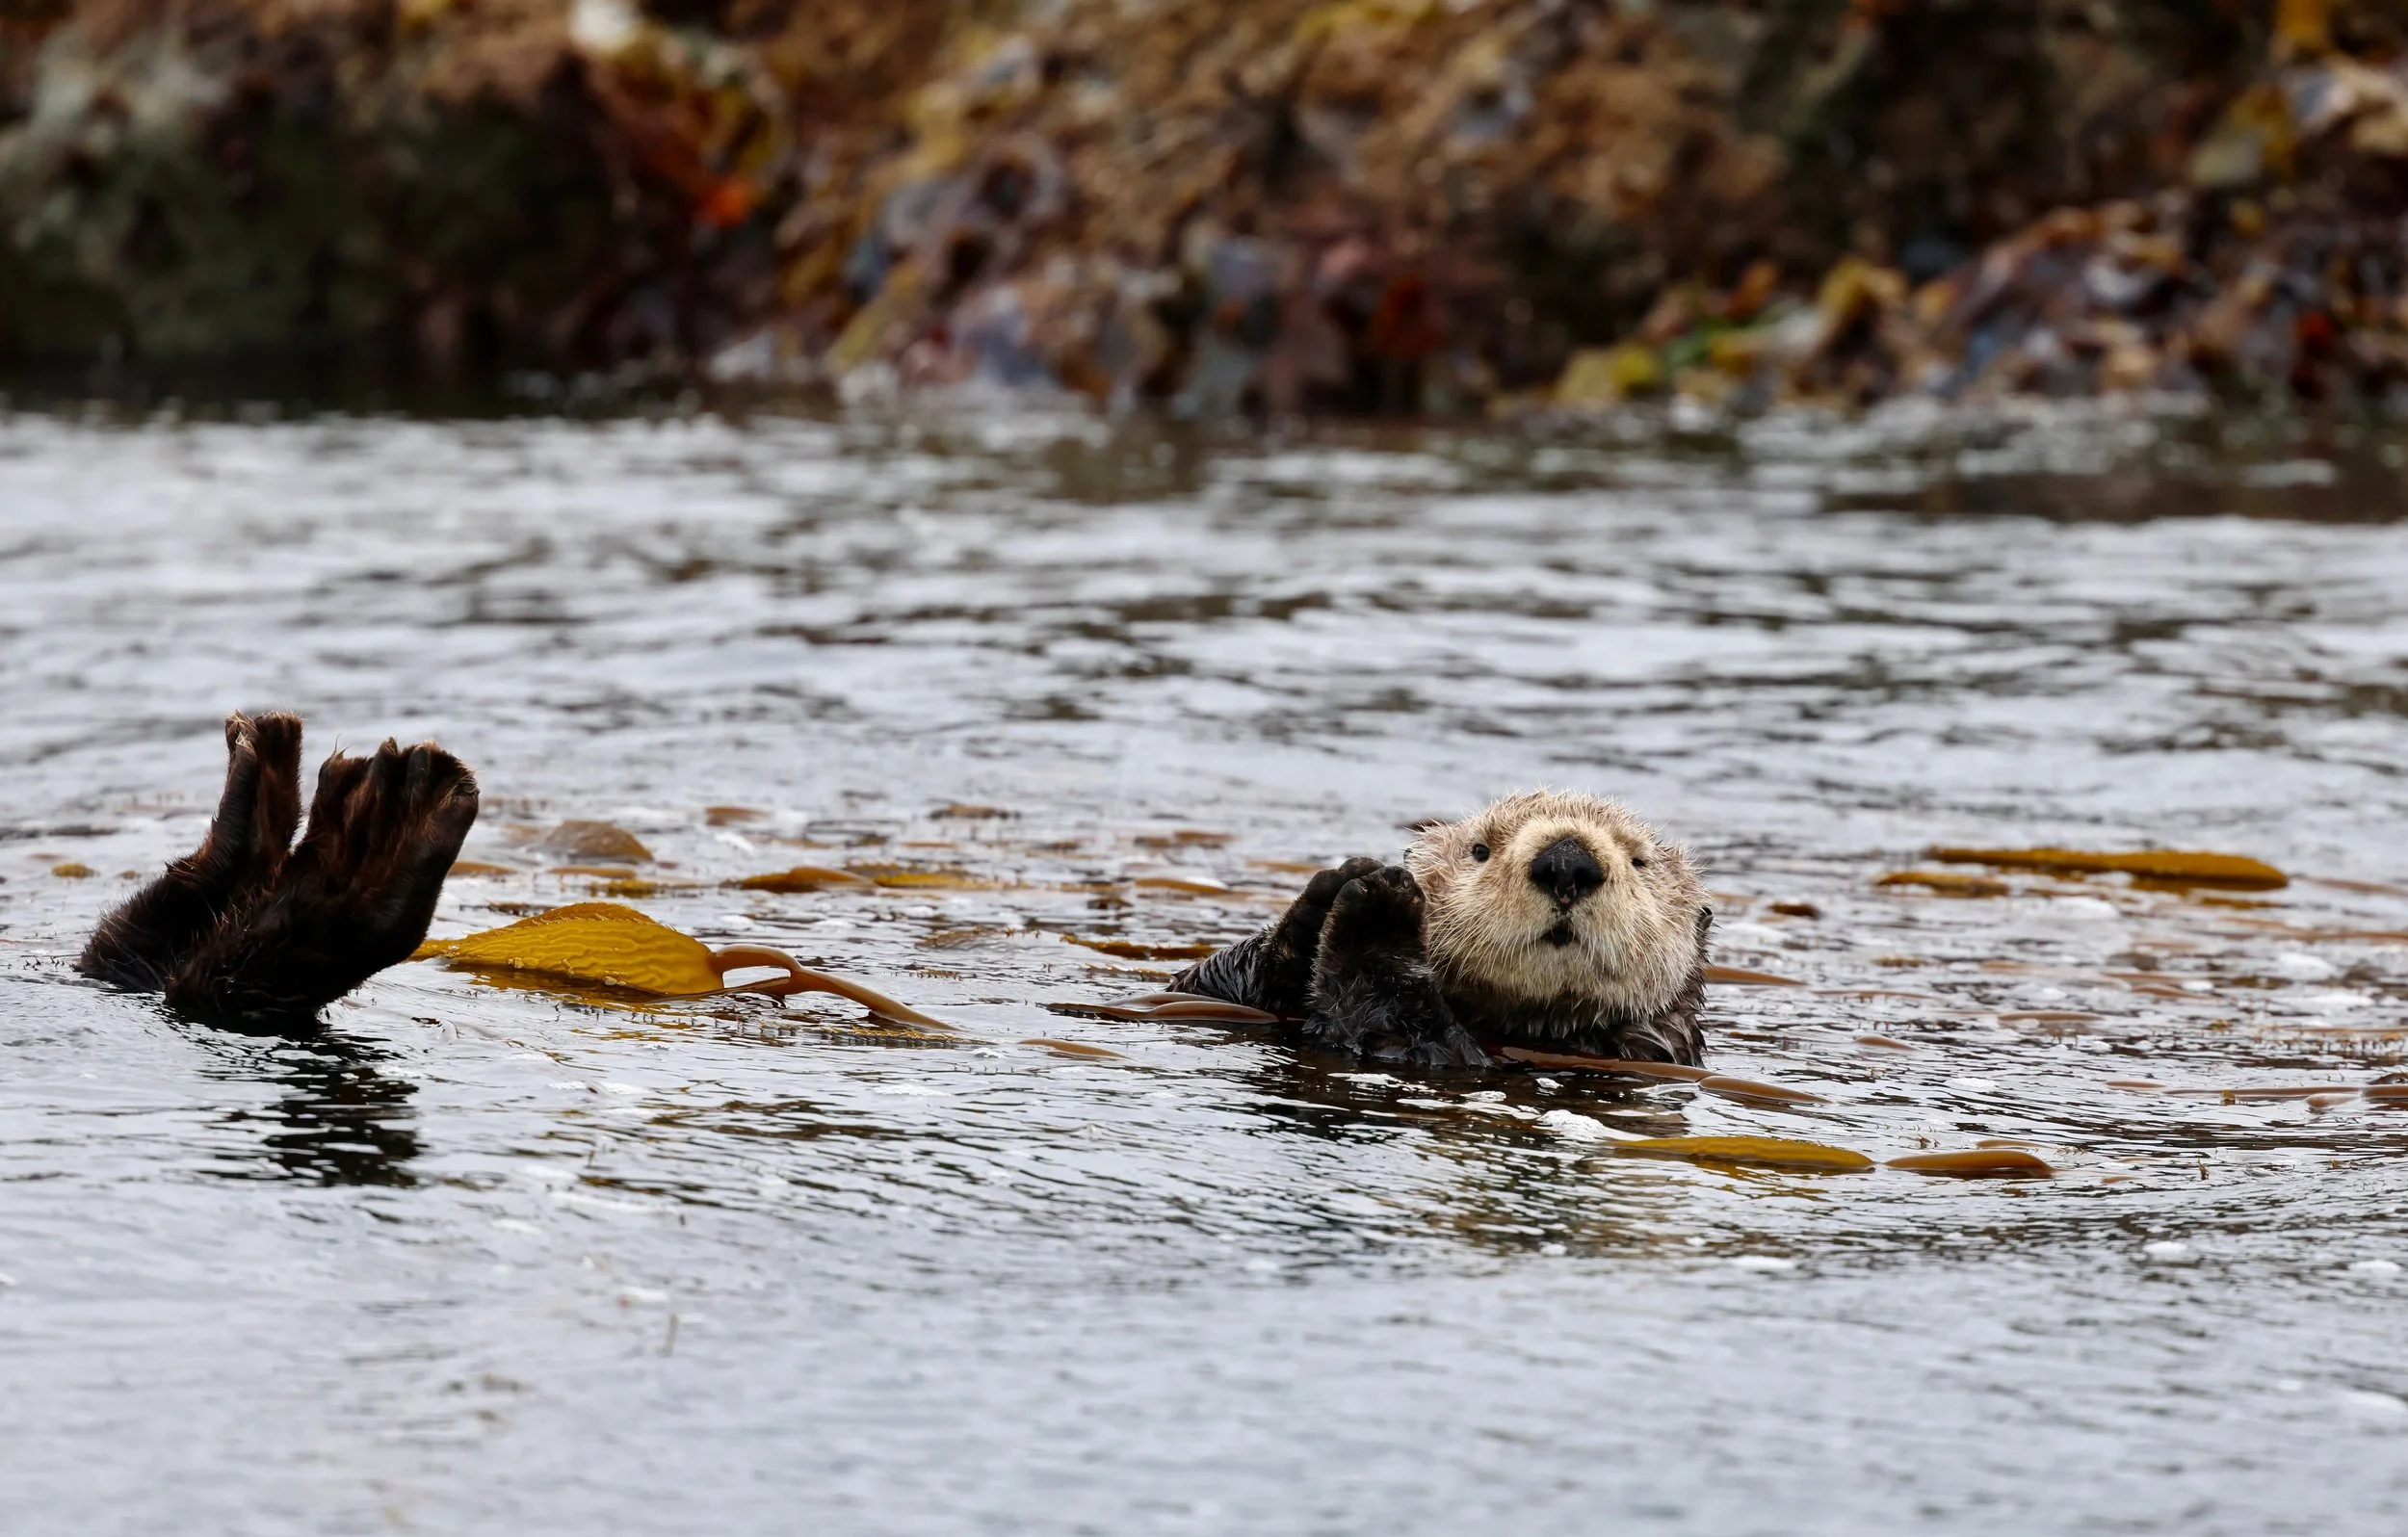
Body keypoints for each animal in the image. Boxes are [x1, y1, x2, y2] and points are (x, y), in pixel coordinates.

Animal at [1171, 791, 1711, 1068]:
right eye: (1480, 850)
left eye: (1639, 862)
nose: (1567, 863)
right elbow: (1202, 984)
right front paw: (1337, 884)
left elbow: (1399, 1035)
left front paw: (1381, 907)